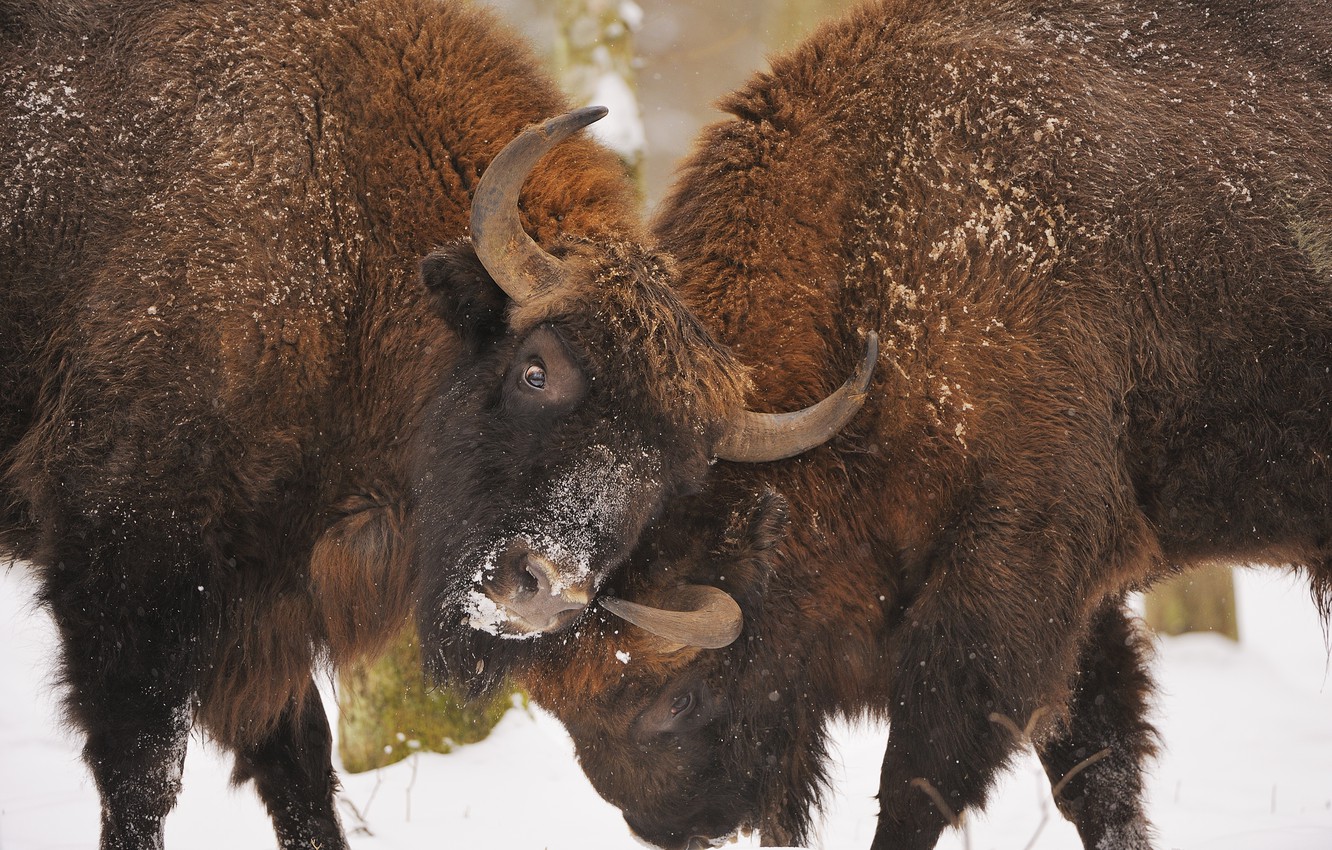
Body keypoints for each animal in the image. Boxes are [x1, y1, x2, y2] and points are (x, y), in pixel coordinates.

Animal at [0, 1, 869, 847]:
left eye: (678, 473)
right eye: (534, 370)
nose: (546, 592)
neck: (343, 246)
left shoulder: (269, 611)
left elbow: (299, 766)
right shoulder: (128, 570)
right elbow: (145, 771)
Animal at [521, 0, 1332, 848]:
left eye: (677, 696)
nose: (668, 822)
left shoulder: (1011, 566)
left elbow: (923, 775)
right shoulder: (1079, 600)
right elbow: (1094, 768)